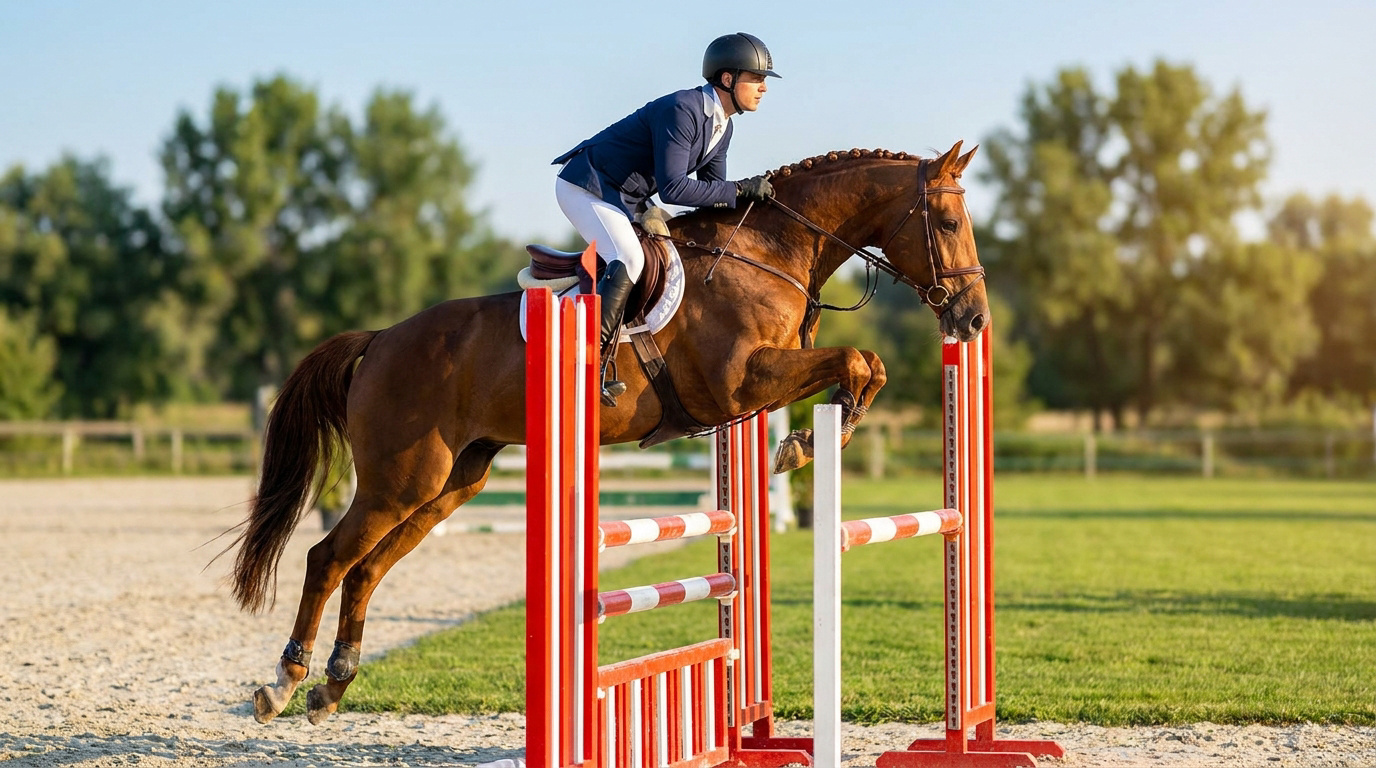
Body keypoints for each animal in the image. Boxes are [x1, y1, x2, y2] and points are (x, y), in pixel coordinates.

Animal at [232, 141, 985, 726]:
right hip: (399, 480)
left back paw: (332, 686)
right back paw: (283, 684)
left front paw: (816, 434)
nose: (973, 319)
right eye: (948, 221)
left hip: (450, 483)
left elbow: (867, 364)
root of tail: (381, 339)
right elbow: (859, 360)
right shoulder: (742, 383)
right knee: (327, 559)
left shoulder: (761, 382)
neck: (767, 252)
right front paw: (801, 445)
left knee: (365, 569)